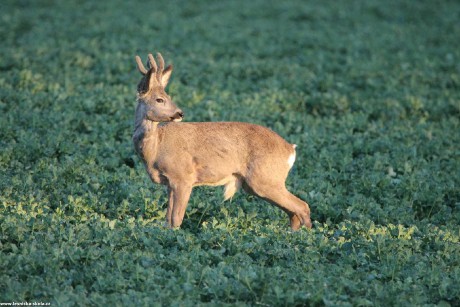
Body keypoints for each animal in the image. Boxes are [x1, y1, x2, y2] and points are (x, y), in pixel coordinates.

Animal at [133, 53, 312, 231]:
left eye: (167, 97)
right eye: (159, 99)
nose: (180, 113)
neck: (156, 149)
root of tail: (290, 149)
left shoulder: (183, 177)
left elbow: (175, 219)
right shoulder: (170, 183)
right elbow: (167, 220)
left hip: (266, 178)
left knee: (302, 206)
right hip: (260, 183)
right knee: (293, 212)